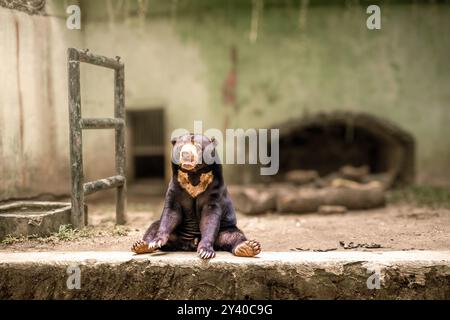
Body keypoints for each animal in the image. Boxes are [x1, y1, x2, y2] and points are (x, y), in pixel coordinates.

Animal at [130, 134, 262, 258]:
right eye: (181, 146)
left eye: (198, 147)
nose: (186, 154)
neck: (194, 174)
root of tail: (189, 244)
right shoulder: (176, 186)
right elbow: (171, 213)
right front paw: (156, 241)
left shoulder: (214, 188)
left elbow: (210, 217)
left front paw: (205, 251)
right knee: (154, 226)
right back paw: (141, 245)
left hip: (225, 228)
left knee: (233, 235)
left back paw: (248, 247)